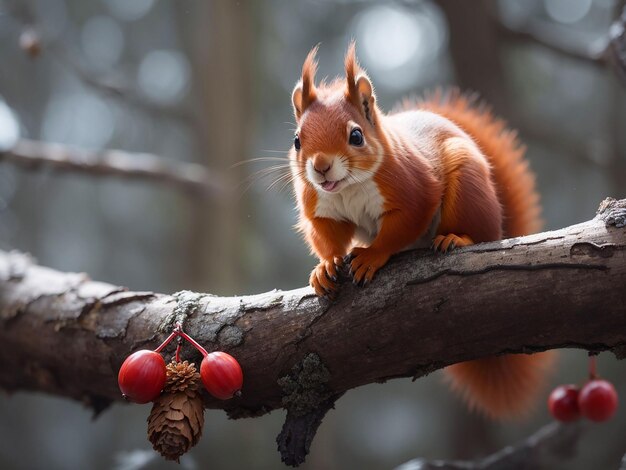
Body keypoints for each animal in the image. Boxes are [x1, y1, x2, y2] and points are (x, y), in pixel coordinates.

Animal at [288, 43, 552, 418]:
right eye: (297, 141)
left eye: (356, 135)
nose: (321, 166)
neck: (347, 188)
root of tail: (500, 224)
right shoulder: (321, 210)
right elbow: (328, 237)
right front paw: (326, 267)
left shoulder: (414, 190)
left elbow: (402, 226)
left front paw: (371, 256)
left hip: (468, 189)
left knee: (477, 232)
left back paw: (457, 239)